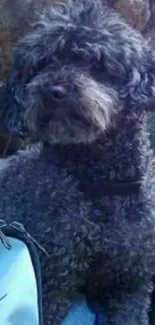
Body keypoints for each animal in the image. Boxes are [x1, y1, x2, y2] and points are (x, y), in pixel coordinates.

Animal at [0, 0, 155, 322]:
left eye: (96, 64)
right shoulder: (53, 279)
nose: (54, 91)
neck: (102, 184)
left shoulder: (131, 284)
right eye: (44, 64)